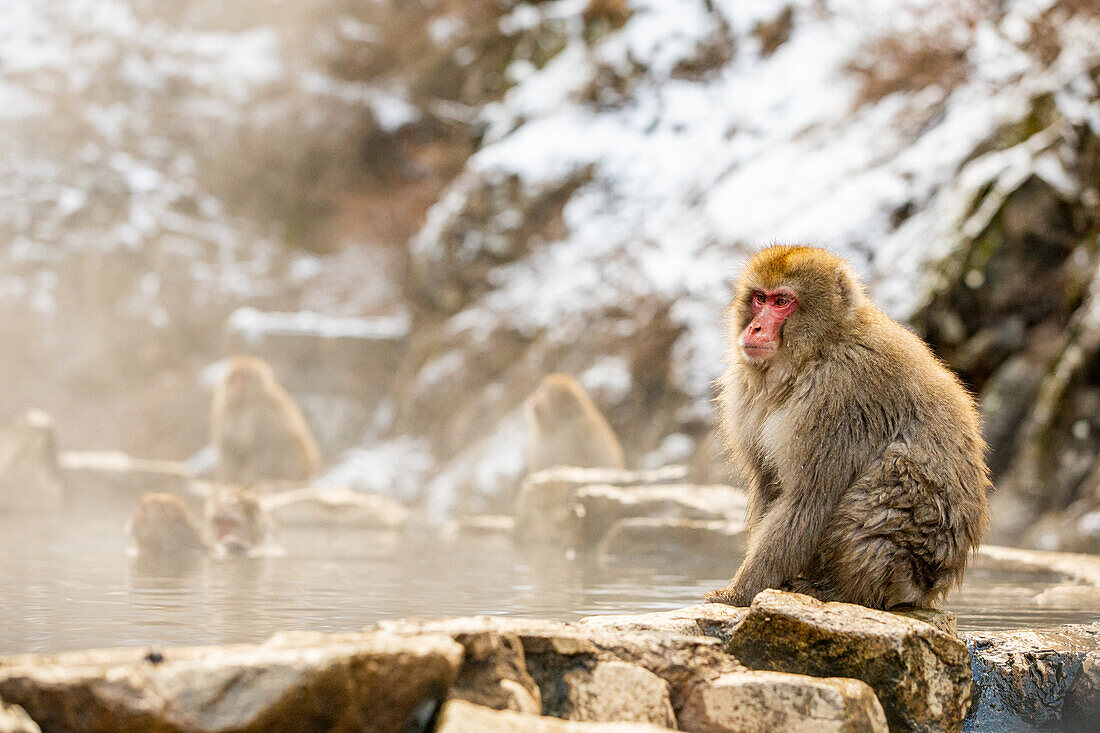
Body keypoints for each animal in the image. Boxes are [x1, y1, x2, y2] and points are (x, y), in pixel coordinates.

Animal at [210, 354, 321, 484]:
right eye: (231, 377)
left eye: (241, 377)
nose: (231, 384)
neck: (243, 404)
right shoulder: (222, 411)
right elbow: (228, 447)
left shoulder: (265, 414)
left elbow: (268, 445)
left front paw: (250, 479)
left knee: (290, 443)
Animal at [708, 242, 994, 607]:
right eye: (760, 298)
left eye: (782, 302)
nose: (755, 328)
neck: (816, 350)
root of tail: (930, 587)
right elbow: (768, 484)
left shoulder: (836, 394)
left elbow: (809, 499)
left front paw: (739, 593)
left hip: (909, 559)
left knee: (894, 466)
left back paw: (841, 590)